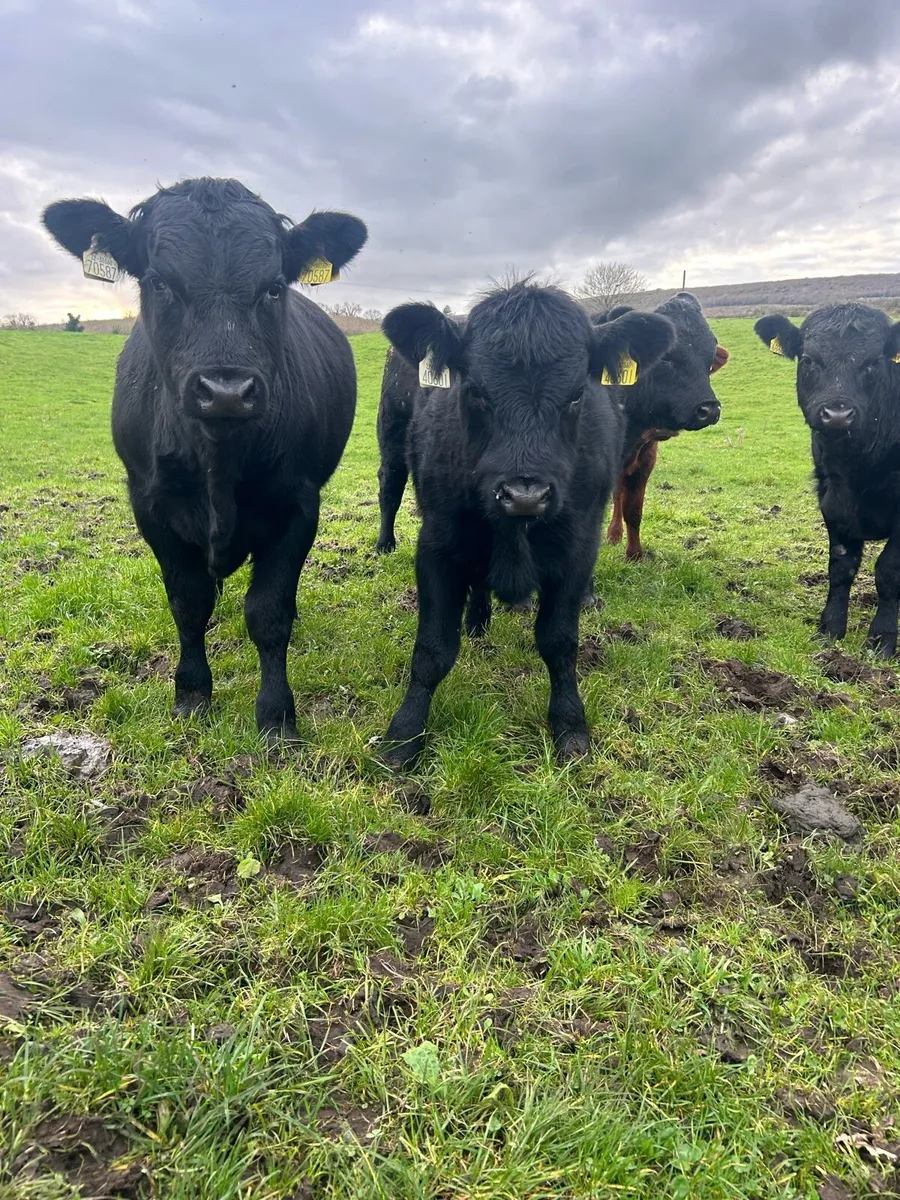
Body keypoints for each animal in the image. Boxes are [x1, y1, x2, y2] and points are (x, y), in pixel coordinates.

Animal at [42, 177, 367, 743]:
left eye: (274, 287)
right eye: (159, 283)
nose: (226, 391)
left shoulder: (298, 505)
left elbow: (269, 612)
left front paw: (276, 715)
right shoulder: (149, 503)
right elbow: (189, 603)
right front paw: (192, 693)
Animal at [377, 279, 675, 767]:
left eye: (576, 395)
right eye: (475, 391)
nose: (525, 495)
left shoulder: (577, 551)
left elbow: (559, 642)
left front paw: (570, 725)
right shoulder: (437, 545)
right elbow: (432, 649)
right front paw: (403, 735)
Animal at [594, 292, 729, 561]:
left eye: (709, 360)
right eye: (665, 357)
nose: (709, 409)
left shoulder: (645, 458)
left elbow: (633, 510)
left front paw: (635, 554)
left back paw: (614, 535)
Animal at [755, 304, 900, 657]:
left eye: (873, 362)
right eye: (808, 360)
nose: (837, 414)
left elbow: (889, 570)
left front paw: (883, 639)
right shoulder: (833, 498)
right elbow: (841, 566)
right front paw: (830, 628)